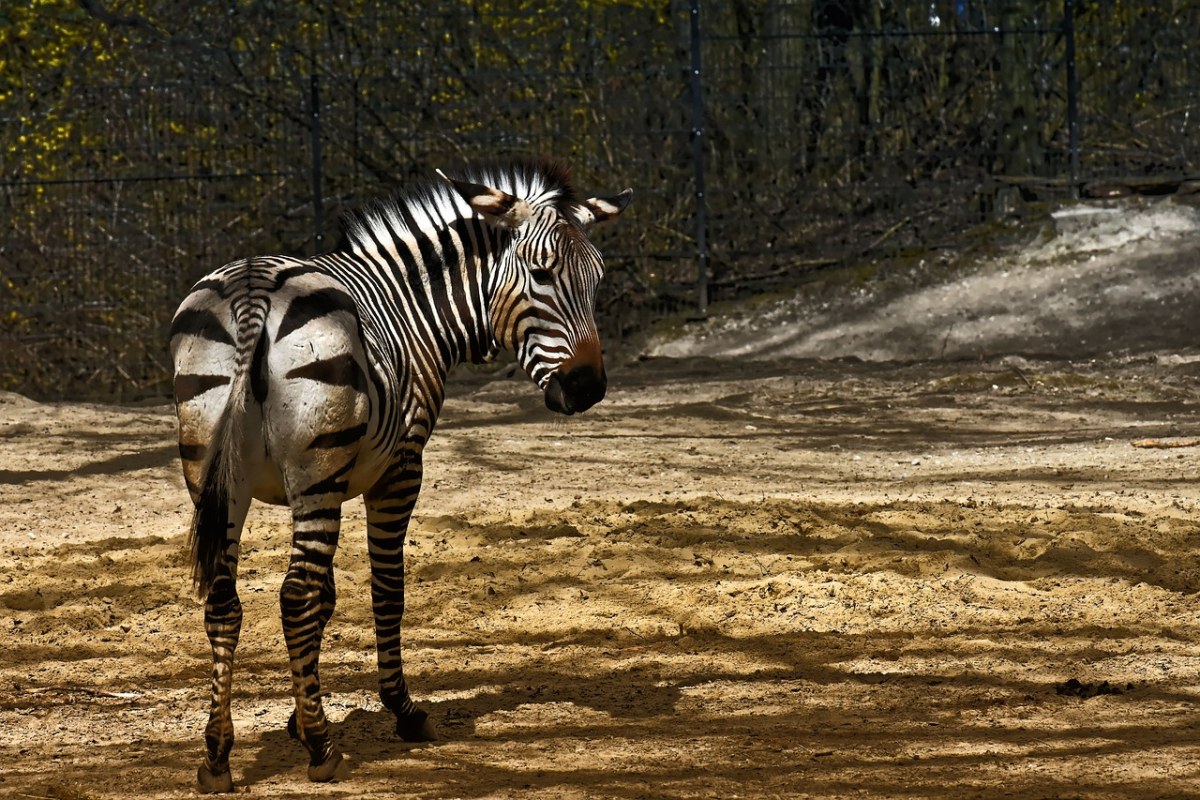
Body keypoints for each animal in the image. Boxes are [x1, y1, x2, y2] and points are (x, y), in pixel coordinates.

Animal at [172, 159, 633, 791]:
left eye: (597, 279)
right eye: (541, 274)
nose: (588, 389)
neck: (414, 308)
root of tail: (253, 289)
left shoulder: (324, 481)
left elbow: (329, 598)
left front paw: (299, 716)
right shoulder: (397, 468)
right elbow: (385, 590)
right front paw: (400, 712)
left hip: (215, 473)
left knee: (224, 602)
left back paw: (217, 755)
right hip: (314, 470)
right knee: (293, 594)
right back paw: (323, 752)